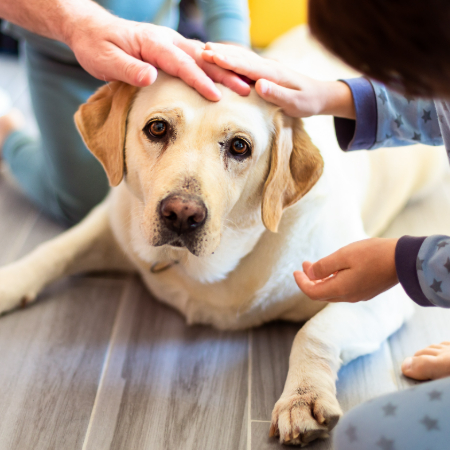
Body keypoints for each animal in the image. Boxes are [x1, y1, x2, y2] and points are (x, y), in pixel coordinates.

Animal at [0, 70, 444, 446]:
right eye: (157, 128)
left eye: (239, 147)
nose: (182, 213)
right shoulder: (113, 221)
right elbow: (53, 250)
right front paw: (10, 282)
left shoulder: (380, 292)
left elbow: (314, 330)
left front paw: (302, 398)